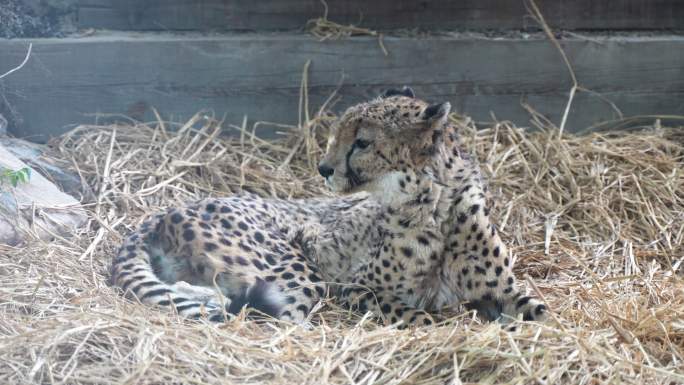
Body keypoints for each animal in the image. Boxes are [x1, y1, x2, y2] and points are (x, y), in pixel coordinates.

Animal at [112, 86, 552, 324]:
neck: (435, 210)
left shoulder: (501, 290)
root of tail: (159, 215)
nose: (323, 168)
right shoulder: (354, 287)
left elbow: (544, 312)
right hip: (298, 270)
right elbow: (418, 315)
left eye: (362, 142)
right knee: (269, 314)